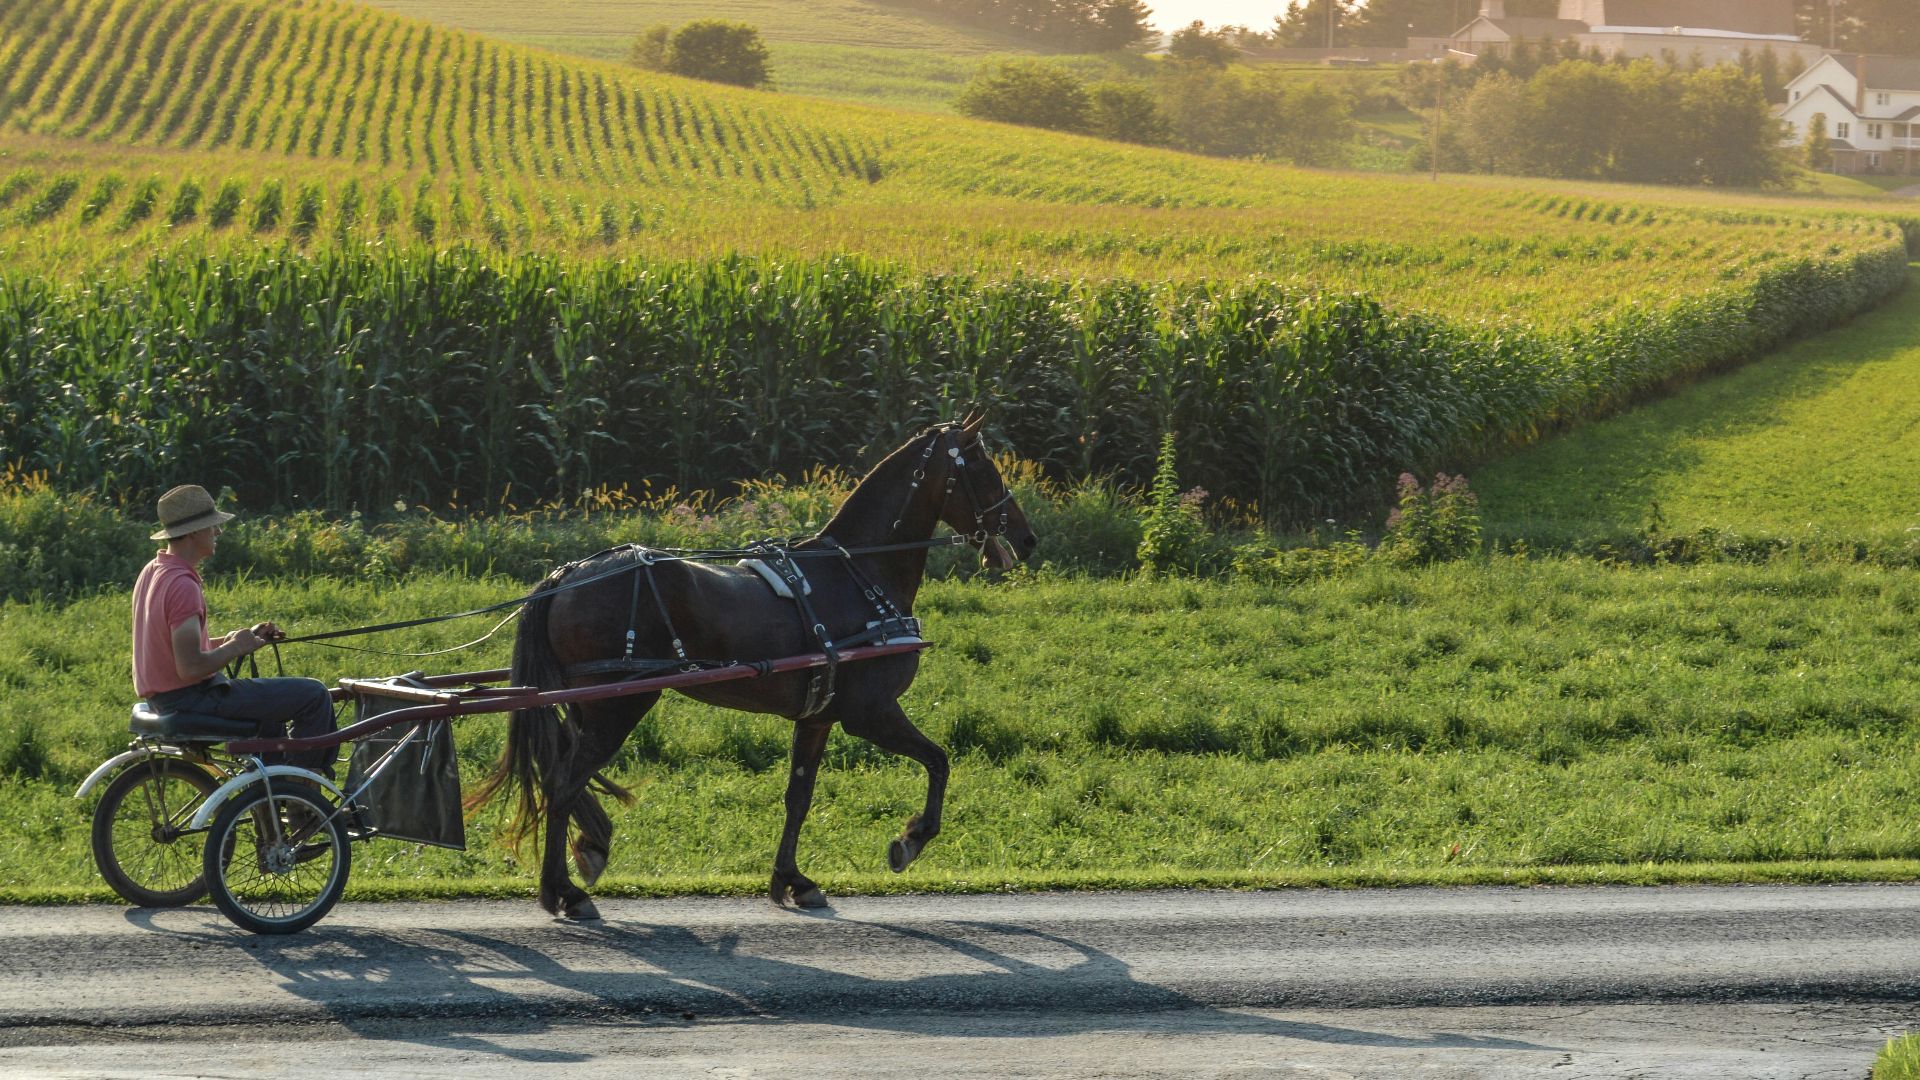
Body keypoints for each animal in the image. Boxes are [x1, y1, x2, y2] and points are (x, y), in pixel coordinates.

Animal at [468, 415, 1040, 918]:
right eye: (986, 469)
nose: (1028, 538)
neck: (858, 573)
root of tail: (566, 575)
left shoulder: (817, 717)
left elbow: (799, 797)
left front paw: (793, 880)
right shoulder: (870, 712)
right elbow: (939, 761)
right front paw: (911, 839)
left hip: (590, 707)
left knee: (565, 780)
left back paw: (585, 854)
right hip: (620, 706)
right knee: (563, 784)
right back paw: (562, 892)